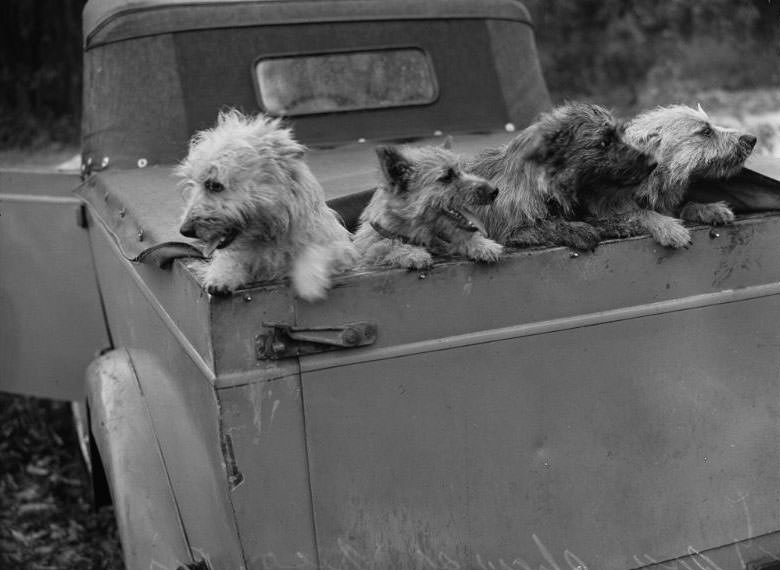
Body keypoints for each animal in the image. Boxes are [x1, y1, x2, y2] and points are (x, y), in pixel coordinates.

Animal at [177, 108, 356, 300]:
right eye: (194, 184)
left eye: (215, 185)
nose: (185, 230)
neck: (269, 235)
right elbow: (230, 259)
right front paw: (221, 275)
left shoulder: (339, 250)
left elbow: (317, 251)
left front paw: (309, 280)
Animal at [354, 141, 502, 268]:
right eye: (446, 177)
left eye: (463, 170)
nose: (495, 191)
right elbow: (383, 246)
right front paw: (412, 253)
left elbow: (459, 235)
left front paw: (482, 245)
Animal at [470, 101, 660, 251]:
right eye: (604, 142)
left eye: (621, 135)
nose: (653, 163)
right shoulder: (512, 231)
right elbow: (546, 225)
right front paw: (577, 230)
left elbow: (591, 219)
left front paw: (613, 223)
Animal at [584, 104, 756, 246]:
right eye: (706, 131)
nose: (752, 139)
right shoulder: (604, 213)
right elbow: (639, 213)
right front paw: (667, 226)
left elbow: (684, 206)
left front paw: (709, 208)